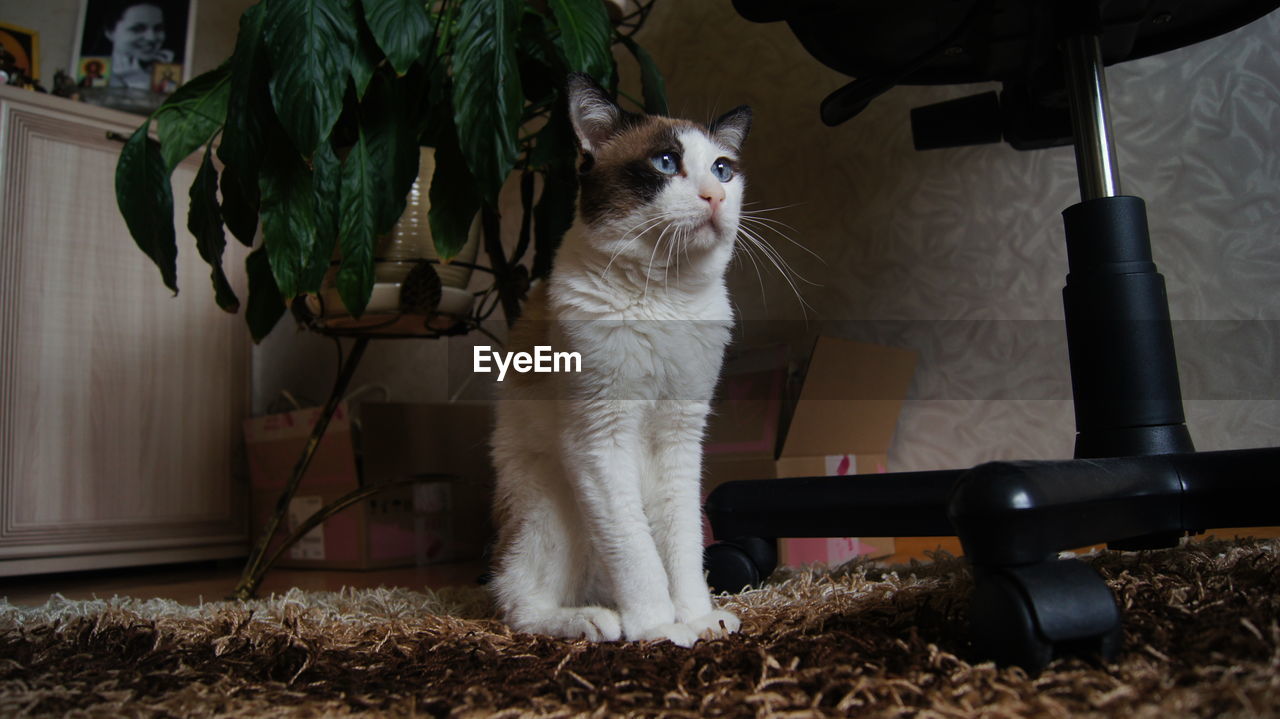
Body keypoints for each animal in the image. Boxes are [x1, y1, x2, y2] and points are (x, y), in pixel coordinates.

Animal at [486, 74, 747, 644]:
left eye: (722, 169)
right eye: (666, 163)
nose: (715, 195)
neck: (666, 298)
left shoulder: (681, 437)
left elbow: (683, 546)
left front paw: (699, 619)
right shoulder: (598, 439)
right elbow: (638, 552)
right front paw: (659, 628)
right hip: (553, 506)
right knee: (518, 603)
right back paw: (594, 620)